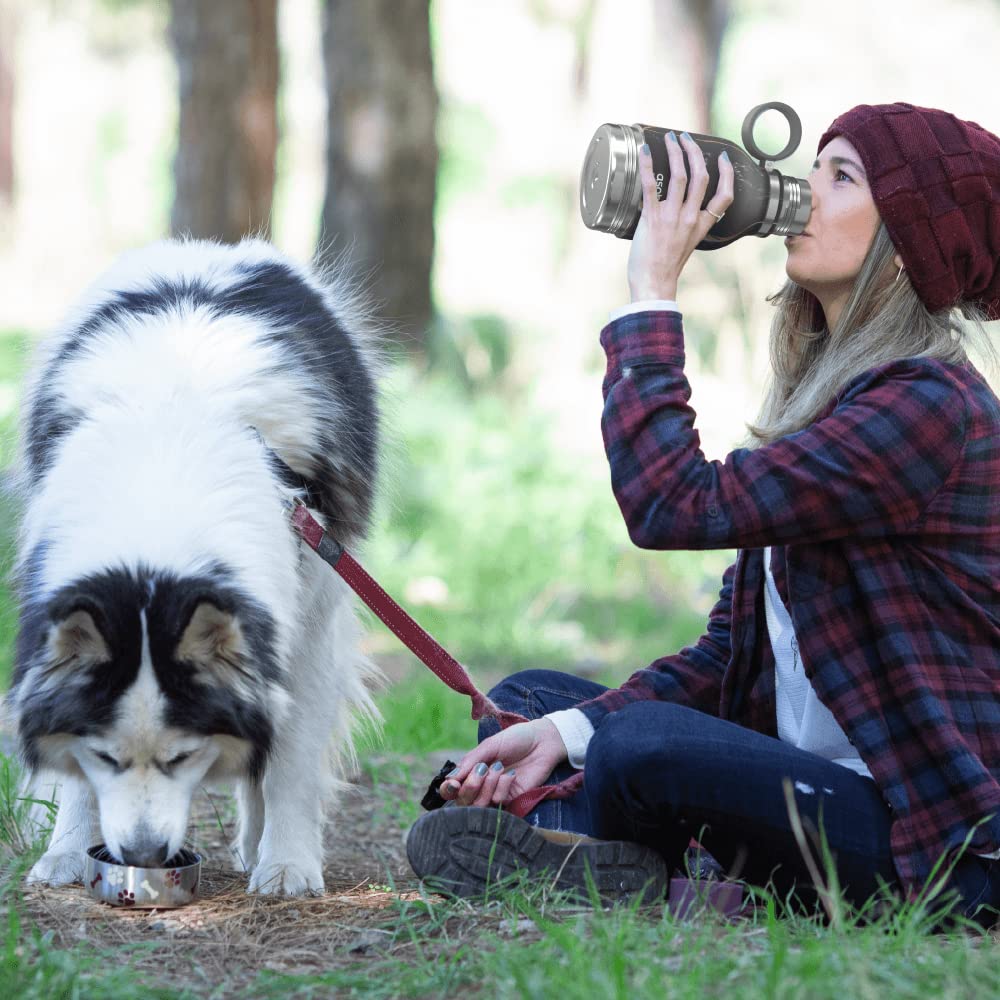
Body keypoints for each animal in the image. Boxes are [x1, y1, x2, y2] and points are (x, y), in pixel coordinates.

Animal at [3, 236, 384, 900]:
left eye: (181, 757)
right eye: (107, 757)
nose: (143, 855)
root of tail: (214, 247)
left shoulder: (308, 621)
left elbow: (288, 758)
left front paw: (288, 865)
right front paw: (68, 852)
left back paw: (258, 848)